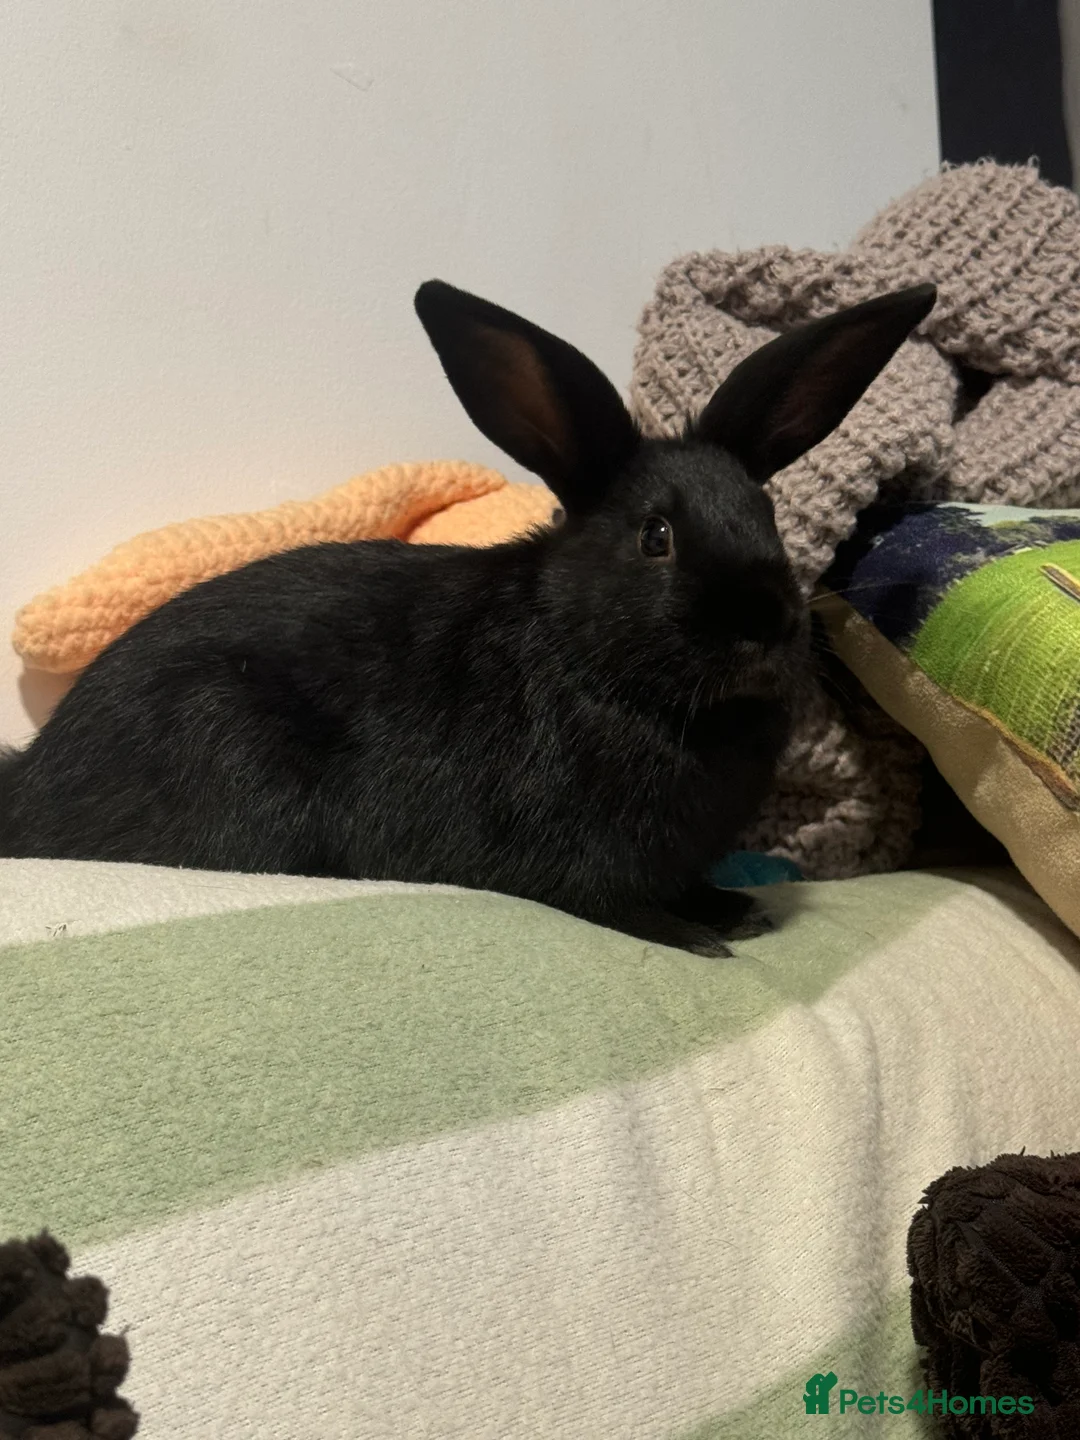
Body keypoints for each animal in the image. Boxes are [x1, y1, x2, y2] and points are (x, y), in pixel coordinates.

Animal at [0, 277, 934, 954]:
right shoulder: (576, 856)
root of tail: (32, 785)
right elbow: (615, 903)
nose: (764, 622)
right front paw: (701, 939)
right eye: (656, 536)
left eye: (767, 515)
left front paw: (734, 909)